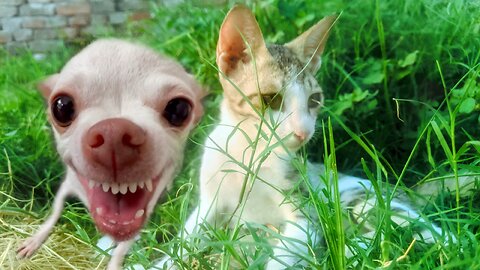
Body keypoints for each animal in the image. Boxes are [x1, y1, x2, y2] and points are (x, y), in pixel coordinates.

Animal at [16, 39, 202, 268]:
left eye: (179, 109)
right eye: (62, 107)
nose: (114, 133)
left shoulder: (141, 217)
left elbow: (122, 247)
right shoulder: (67, 186)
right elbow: (53, 213)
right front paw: (35, 239)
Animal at [151, 4, 476, 270]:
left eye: (314, 100)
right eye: (270, 100)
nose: (303, 131)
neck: (250, 156)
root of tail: (407, 190)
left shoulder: (304, 213)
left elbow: (287, 251)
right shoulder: (211, 204)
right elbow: (185, 240)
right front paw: (152, 263)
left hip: (362, 200)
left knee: (435, 235)